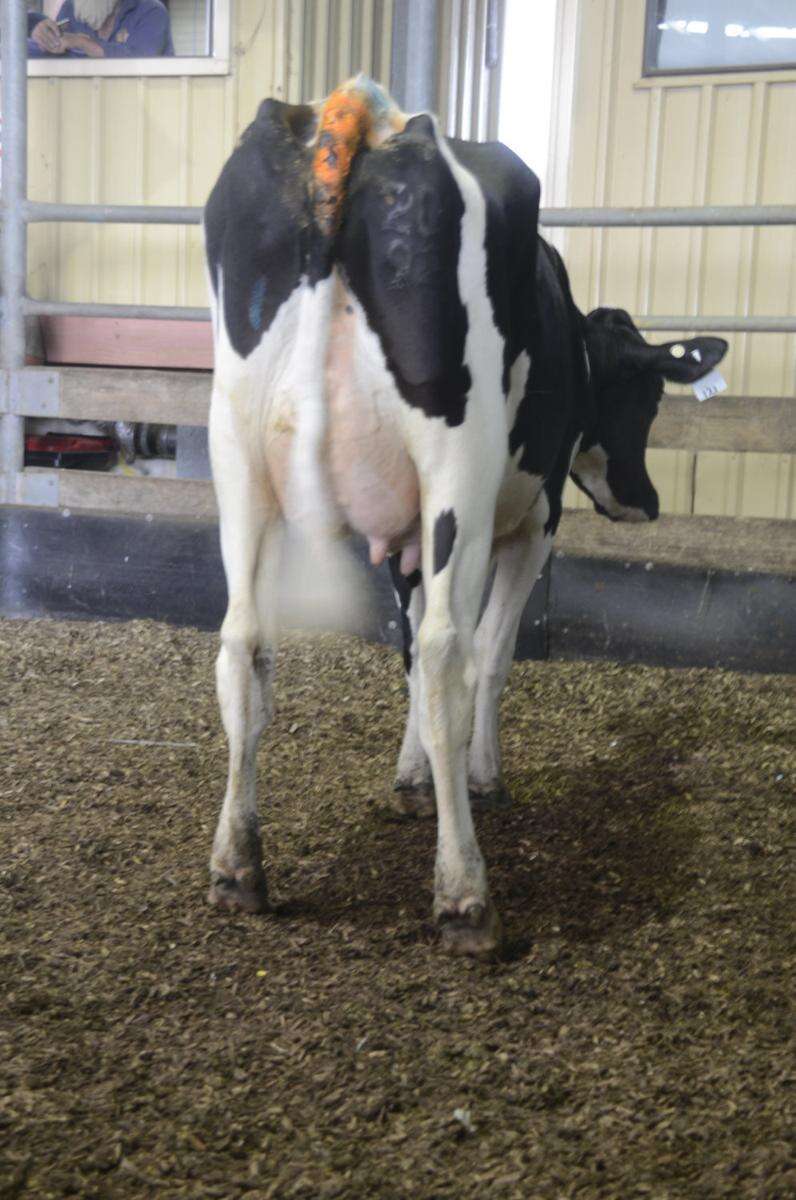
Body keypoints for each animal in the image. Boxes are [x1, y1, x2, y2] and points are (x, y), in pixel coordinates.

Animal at [203, 77, 727, 958]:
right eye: (649, 394)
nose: (646, 502)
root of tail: (364, 123)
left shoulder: (402, 536)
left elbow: (407, 650)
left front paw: (413, 776)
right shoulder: (532, 522)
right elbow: (488, 652)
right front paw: (482, 777)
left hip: (237, 456)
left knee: (245, 644)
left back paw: (238, 869)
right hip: (460, 469)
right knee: (454, 647)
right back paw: (464, 895)